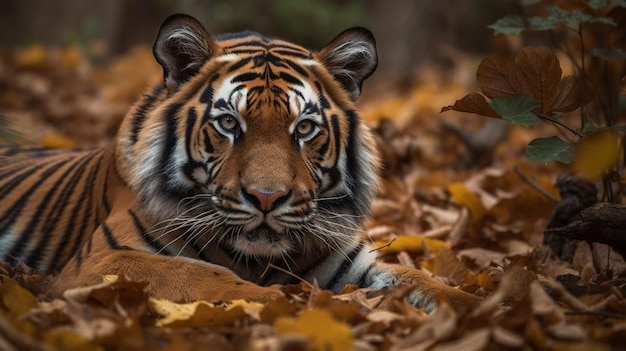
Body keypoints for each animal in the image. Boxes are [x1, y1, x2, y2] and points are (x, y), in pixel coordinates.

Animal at [0, 13, 478, 312]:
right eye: (229, 123)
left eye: (305, 128)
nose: (267, 199)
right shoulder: (101, 260)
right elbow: (204, 277)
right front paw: (299, 305)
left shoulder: (353, 262)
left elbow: (427, 282)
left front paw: (484, 313)